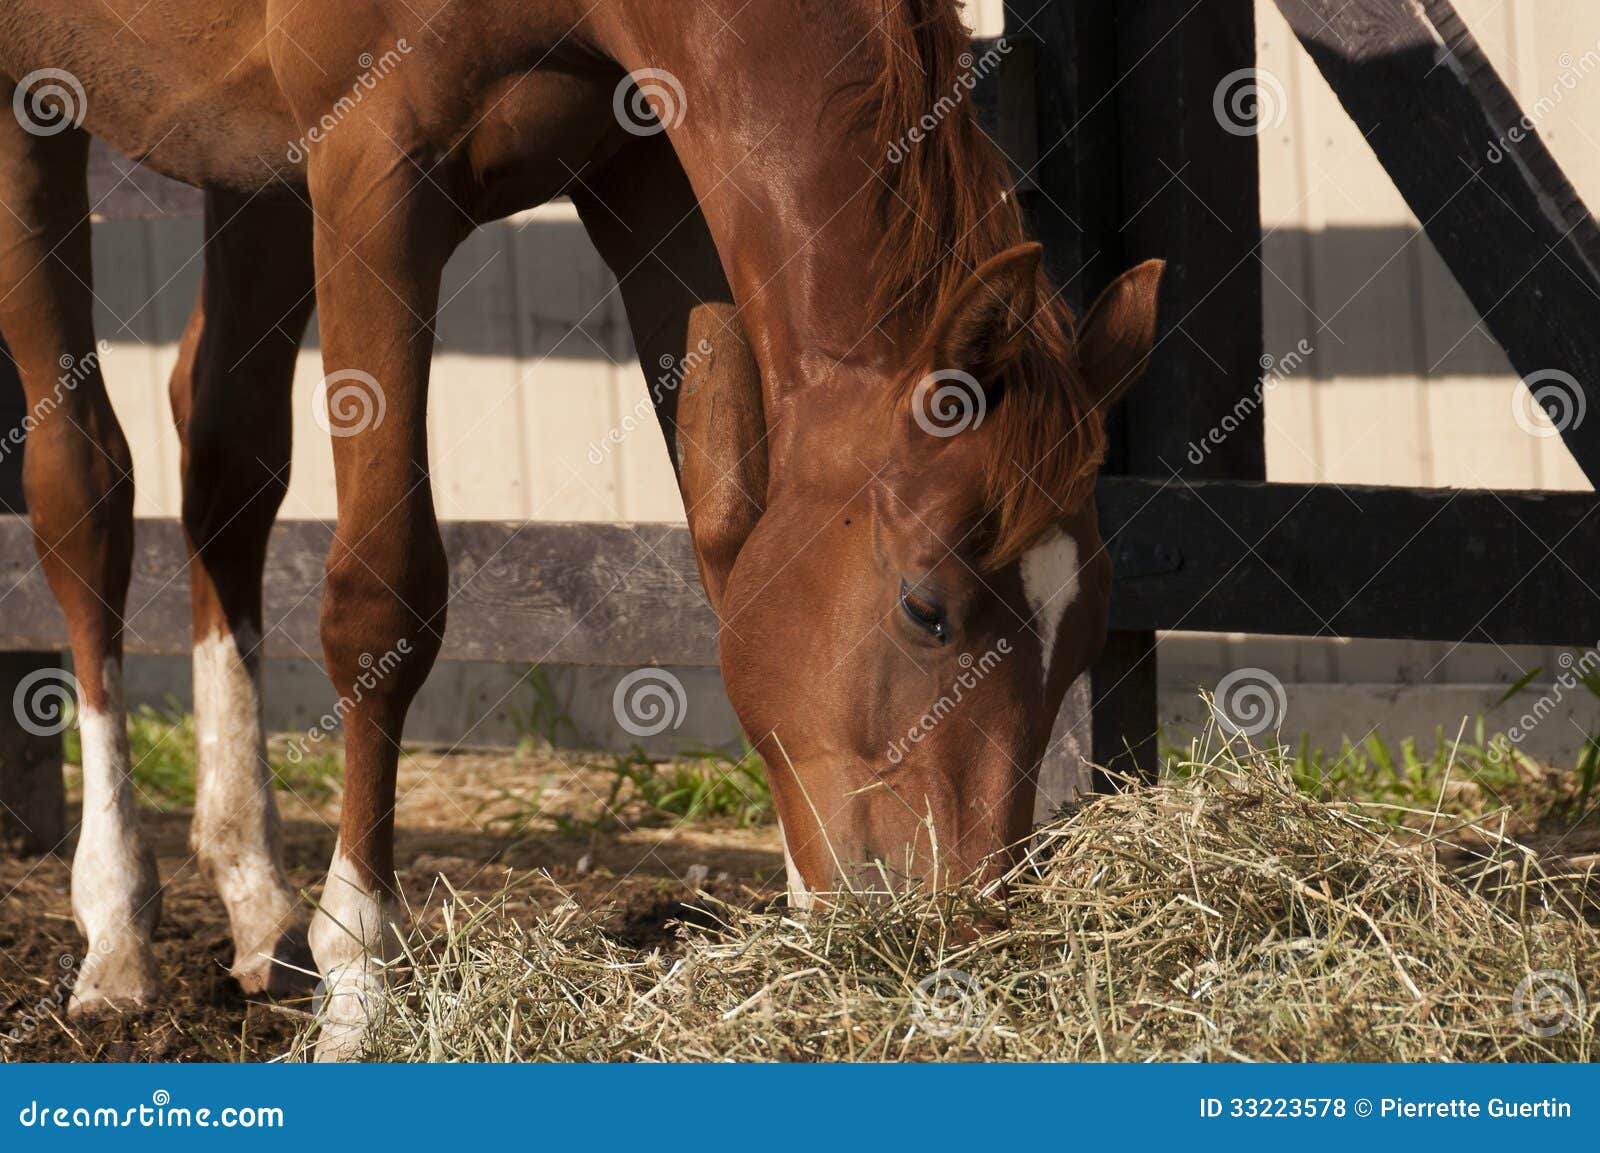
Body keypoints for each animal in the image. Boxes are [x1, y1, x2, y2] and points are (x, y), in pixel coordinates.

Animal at [0, 0, 1161, 1058]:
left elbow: (729, 531)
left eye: (1083, 644)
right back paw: (118, 930)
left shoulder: (648, 182)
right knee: (84, 492)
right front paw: (362, 980)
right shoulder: (373, 171)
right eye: (927, 610)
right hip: (38, 105)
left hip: (252, 165)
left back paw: (253, 896)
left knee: (225, 457)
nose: (959, 935)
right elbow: (384, 594)